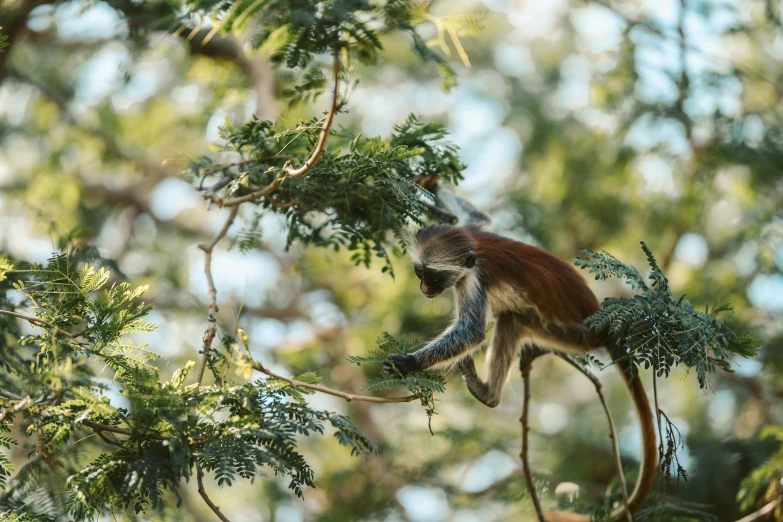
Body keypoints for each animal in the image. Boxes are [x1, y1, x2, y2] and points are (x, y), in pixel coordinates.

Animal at [382, 212, 660, 520]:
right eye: (419, 273)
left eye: (433, 276)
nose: (425, 289)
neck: (474, 248)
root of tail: (601, 324)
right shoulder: (473, 233)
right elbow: (478, 218)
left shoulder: (473, 278)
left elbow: (473, 333)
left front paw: (410, 363)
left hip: (571, 334)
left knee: (510, 319)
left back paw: (489, 394)